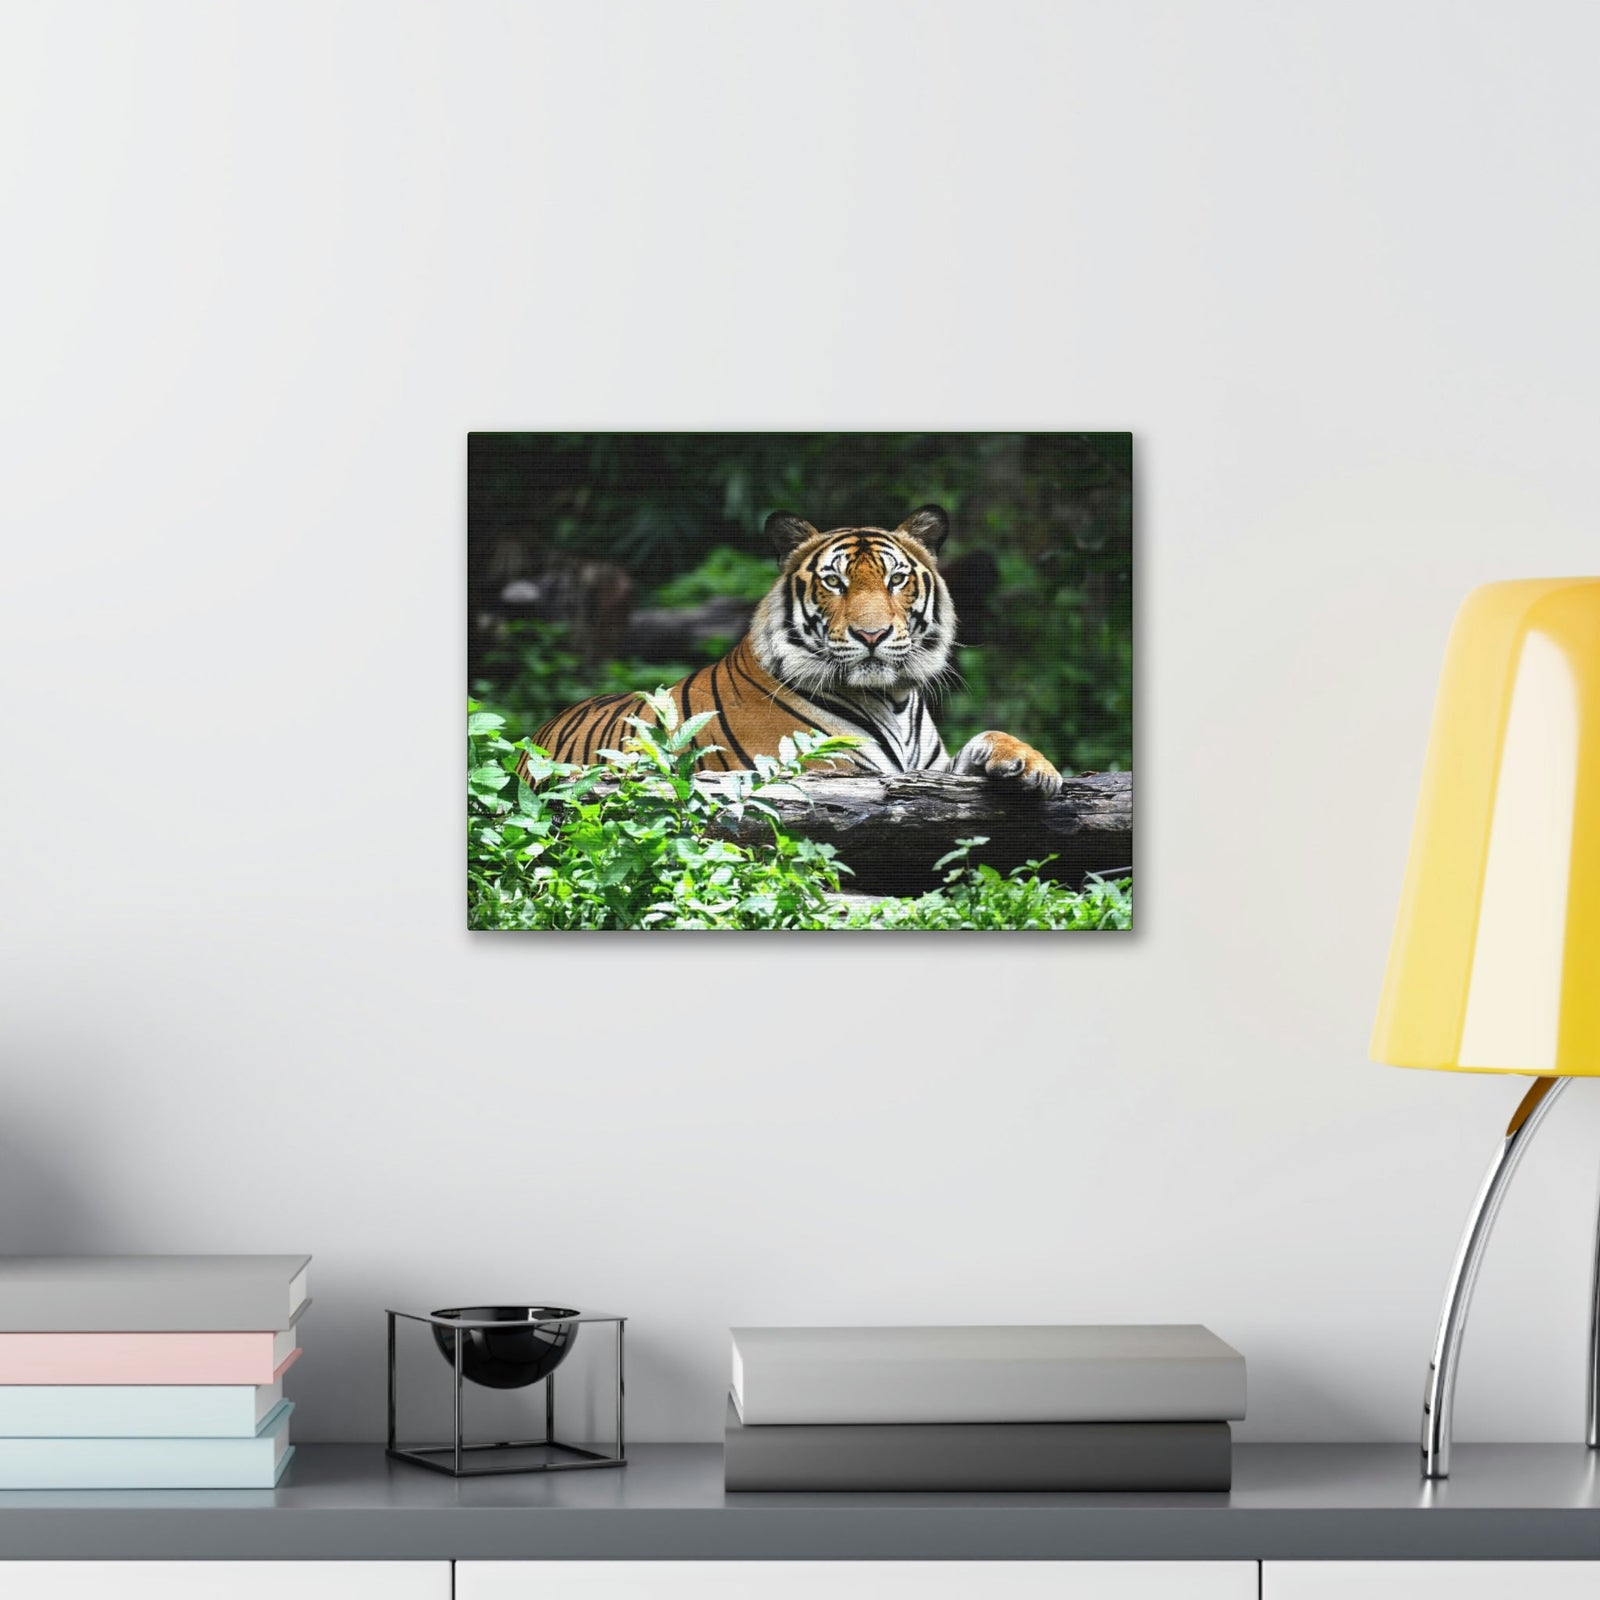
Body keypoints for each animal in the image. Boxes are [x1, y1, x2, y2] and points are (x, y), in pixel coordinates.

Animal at [520, 504, 1062, 796]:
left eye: (895, 579)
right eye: (834, 582)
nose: (871, 635)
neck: (893, 699)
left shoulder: (928, 771)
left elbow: (987, 739)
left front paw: (1034, 766)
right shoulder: (822, 771)